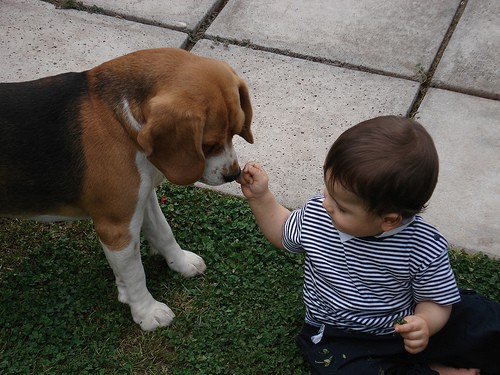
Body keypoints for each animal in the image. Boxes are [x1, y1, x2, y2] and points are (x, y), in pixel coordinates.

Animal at [0, 47, 252, 332]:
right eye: (207, 144)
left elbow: (164, 233)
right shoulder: (116, 227)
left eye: (236, 131)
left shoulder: (143, 198)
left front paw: (180, 263)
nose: (233, 174)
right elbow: (135, 272)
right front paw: (147, 311)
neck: (119, 120)